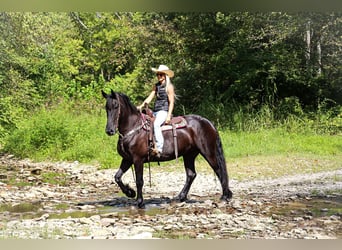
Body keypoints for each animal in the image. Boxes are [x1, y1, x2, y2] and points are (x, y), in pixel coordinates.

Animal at [101, 90, 232, 209]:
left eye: (116, 106)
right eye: (106, 107)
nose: (109, 130)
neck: (134, 128)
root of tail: (208, 122)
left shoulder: (138, 159)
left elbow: (139, 181)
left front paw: (140, 202)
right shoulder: (127, 159)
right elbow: (117, 177)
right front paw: (130, 192)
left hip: (208, 153)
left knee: (219, 170)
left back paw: (225, 196)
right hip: (189, 155)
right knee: (191, 175)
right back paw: (180, 197)